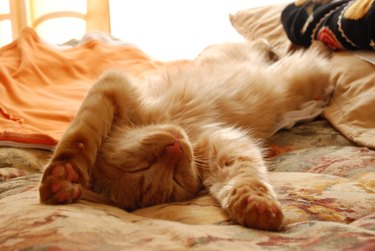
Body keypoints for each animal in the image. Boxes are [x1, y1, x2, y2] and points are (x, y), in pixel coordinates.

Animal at [39, 39, 332, 231]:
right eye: (173, 178)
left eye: (140, 165)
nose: (176, 148)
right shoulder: (223, 143)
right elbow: (241, 176)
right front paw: (253, 205)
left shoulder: (114, 85)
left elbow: (80, 135)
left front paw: (63, 175)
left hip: (282, 68)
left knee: (283, 54)